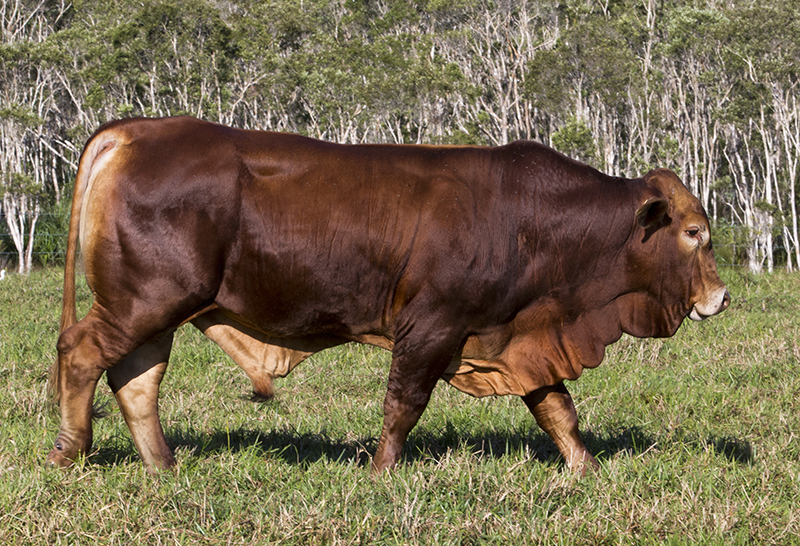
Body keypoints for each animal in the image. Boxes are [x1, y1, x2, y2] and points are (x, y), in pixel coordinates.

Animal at [45, 118, 732, 472]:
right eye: (693, 232)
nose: (721, 297)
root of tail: (134, 131)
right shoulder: (432, 326)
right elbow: (403, 404)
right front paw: (382, 472)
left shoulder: (517, 336)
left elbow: (556, 409)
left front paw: (585, 470)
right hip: (144, 301)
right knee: (82, 353)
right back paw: (70, 453)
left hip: (154, 309)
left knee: (136, 378)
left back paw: (163, 465)